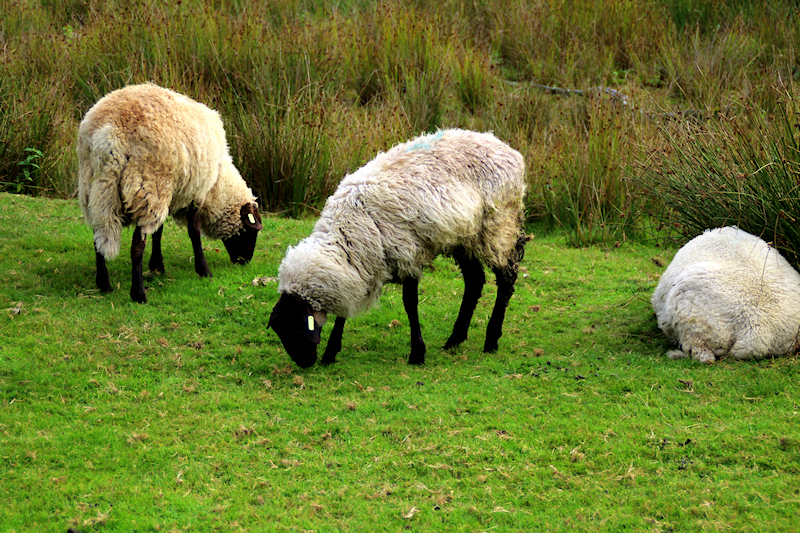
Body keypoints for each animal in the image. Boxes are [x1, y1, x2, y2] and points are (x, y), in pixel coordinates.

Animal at [77, 81, 260, 302]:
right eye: (252, 231)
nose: (245, 261)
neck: (217, 184)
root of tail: (109, 136)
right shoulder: (195, 193)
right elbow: (194, 231)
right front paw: (203, 270)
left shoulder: (169, 193)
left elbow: (159, 232)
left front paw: (157, 265)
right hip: (146, 186)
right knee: (136, 247)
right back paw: (138, 294)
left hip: (96, 189)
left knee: (98, 237)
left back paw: (104, 284)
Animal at [268, 128, 532, 366]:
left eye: (295, 328)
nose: (304, 363)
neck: (347, 234)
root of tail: (506, 148)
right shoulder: (359, 266)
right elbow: (344, 310)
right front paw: (330, 353)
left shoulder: (407, 253)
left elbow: (410, 304)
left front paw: (417, 353)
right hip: (463, 237)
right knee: (475, 281)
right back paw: (455, 339)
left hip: (497, 225)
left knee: (506, 278)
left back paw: (491, 339)